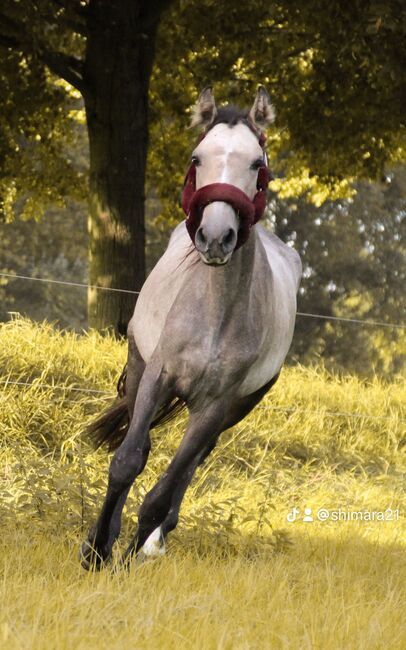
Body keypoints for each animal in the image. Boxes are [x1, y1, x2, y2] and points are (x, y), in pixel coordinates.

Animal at [80, 87, 302, 568]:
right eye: (197, 158)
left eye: (256, 164)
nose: (216, 238)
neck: (214, 312)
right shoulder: (158, 377)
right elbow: (127, 460)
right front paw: (96, 550)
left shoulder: (216, 405)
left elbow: (162, 494)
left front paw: (129, 557)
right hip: (139, 369)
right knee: (141, 444)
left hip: (238, 407)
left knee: (193, 463)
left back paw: (155, 542)